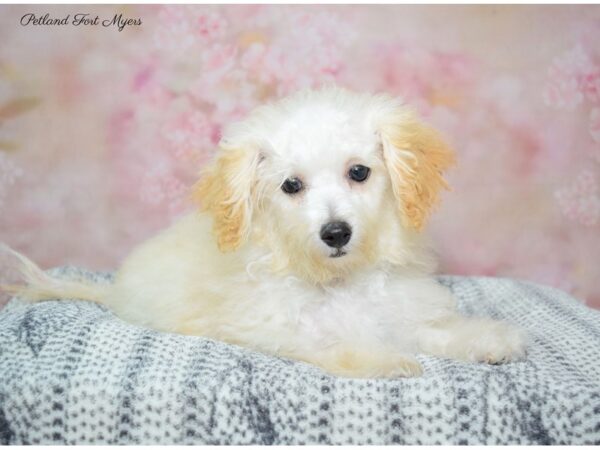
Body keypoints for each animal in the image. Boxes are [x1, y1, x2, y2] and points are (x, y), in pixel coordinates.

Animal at [1, 87, 524, 376]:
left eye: (359, 172)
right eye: (291, 185)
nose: (336, 232)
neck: (336, 282)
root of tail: (114, 292)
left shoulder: (400, 312)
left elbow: (434, 330)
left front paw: (487, 340)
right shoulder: (275, 329)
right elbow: (334, 344)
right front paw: (383, 360)